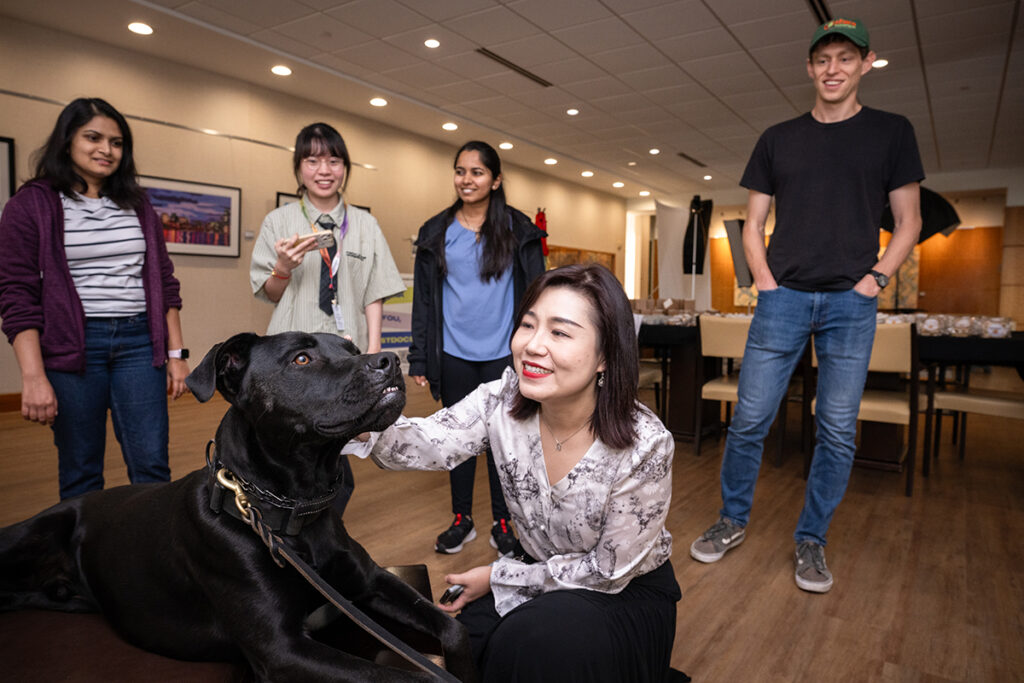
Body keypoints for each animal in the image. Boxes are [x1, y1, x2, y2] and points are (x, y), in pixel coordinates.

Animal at [0, 331, 475, 683]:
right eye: (301, 359)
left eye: (353, 350)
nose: (390, 361)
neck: (290, 512)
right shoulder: (282, 650)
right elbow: (406, 678)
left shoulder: (371, 583)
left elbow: (454, 629)